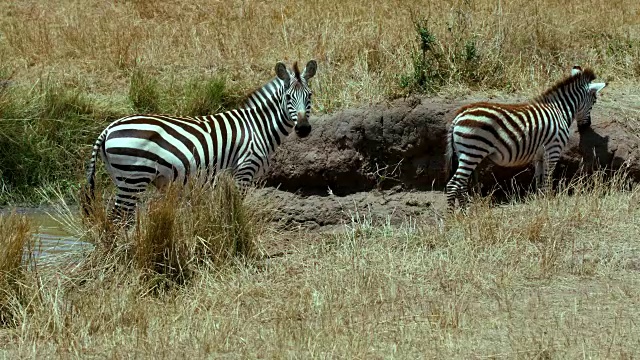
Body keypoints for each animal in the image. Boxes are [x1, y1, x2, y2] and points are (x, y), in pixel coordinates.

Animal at [82, 60, 318, 221]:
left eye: (310, 95)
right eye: (288, 97)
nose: (303, 129)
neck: (258, 127)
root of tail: (109, 128)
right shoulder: (244, 170)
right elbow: (236, 207)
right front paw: (236, 231)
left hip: (122, 178)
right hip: (134, 178)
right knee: (118, 218)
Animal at [444, 65, 604, 211]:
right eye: (594, 101)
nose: (586, 126)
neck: (560, 111)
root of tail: (459, 115)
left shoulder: (539, 155)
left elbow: (539, 179)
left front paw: (540, 199)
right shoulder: (553, 150)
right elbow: (548, 178)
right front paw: (548, 201)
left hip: (463, 153)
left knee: (461, 185)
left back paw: (465, 211)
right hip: (473, 151)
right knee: (453, 185)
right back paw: (455, 217)